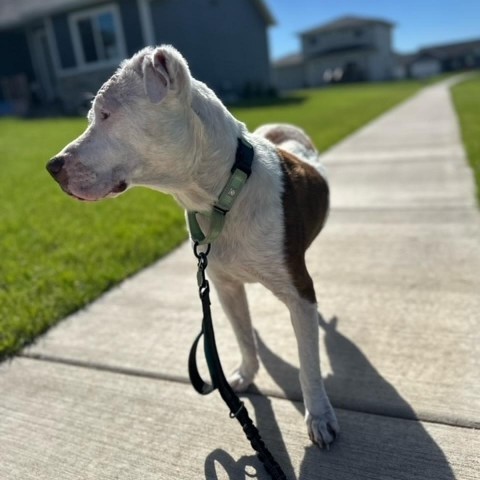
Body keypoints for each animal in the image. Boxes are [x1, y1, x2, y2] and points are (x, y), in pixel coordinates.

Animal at [45, 45, 338, 450]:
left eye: (105, 114)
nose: (52, 166)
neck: (223, 193)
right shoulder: (224, 286)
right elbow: (242, 335)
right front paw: (244, 374)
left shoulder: (299, 293)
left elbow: (308, 361)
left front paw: (319, 416)